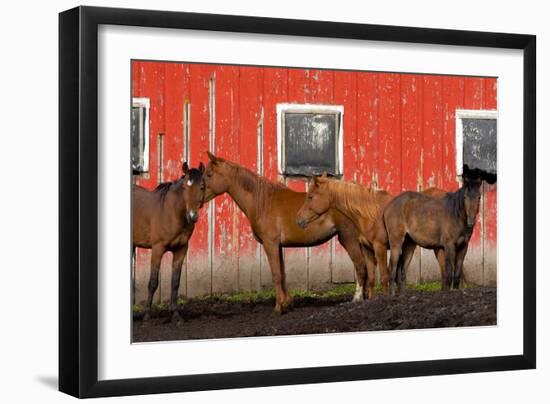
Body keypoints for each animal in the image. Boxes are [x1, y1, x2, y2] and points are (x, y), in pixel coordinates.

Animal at [134, 161, 207, 322]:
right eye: (185, 187)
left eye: (202, 186)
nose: (192, 216)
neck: (171, 212)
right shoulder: (157, 249)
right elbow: (153, 282)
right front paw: (146, 315)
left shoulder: (181, 249)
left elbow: (175, 282)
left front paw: (176, 315)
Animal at [205, 152, 374, 312]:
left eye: (209, 174)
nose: (200, 194)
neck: (263, 202)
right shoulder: (278, 246)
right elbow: (282, 273)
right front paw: (287, 303)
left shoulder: (270, 244)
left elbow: (276, 274)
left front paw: (279, 306)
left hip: (348, 238)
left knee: (360, 266)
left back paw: (357, 298)